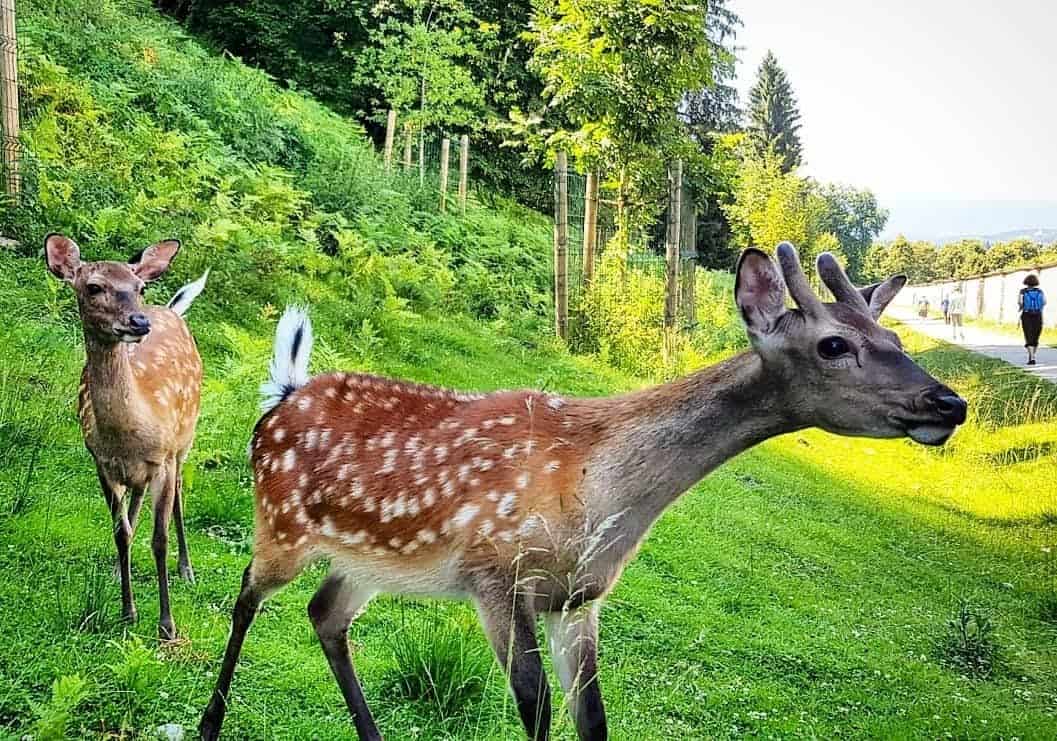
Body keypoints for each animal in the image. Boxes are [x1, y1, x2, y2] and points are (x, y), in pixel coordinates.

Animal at [44, 233, 208, 638]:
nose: (139, 321)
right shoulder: (101, 462)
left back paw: (186, 568)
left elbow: (159, 539)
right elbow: (121, 531)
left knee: (179, 496)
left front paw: (166, 625)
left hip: (185, 437)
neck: (129, 433)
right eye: (93, 287)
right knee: (135, 501)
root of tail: (172, 311)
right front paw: (127, 612)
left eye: (139, 287)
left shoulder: (163, 458)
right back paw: (121, 567)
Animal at [196, 244, 968, 739]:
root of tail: (283, 394)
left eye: (896, 338)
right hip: (281, 521)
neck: (600, 493)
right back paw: (209, 721)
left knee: (325, 614)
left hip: (371, 559)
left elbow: (592, 718)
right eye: (835, 344)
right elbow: (535, 710)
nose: (949, 402)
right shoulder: (495, 574)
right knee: (245, 594)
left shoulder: (578, 599)